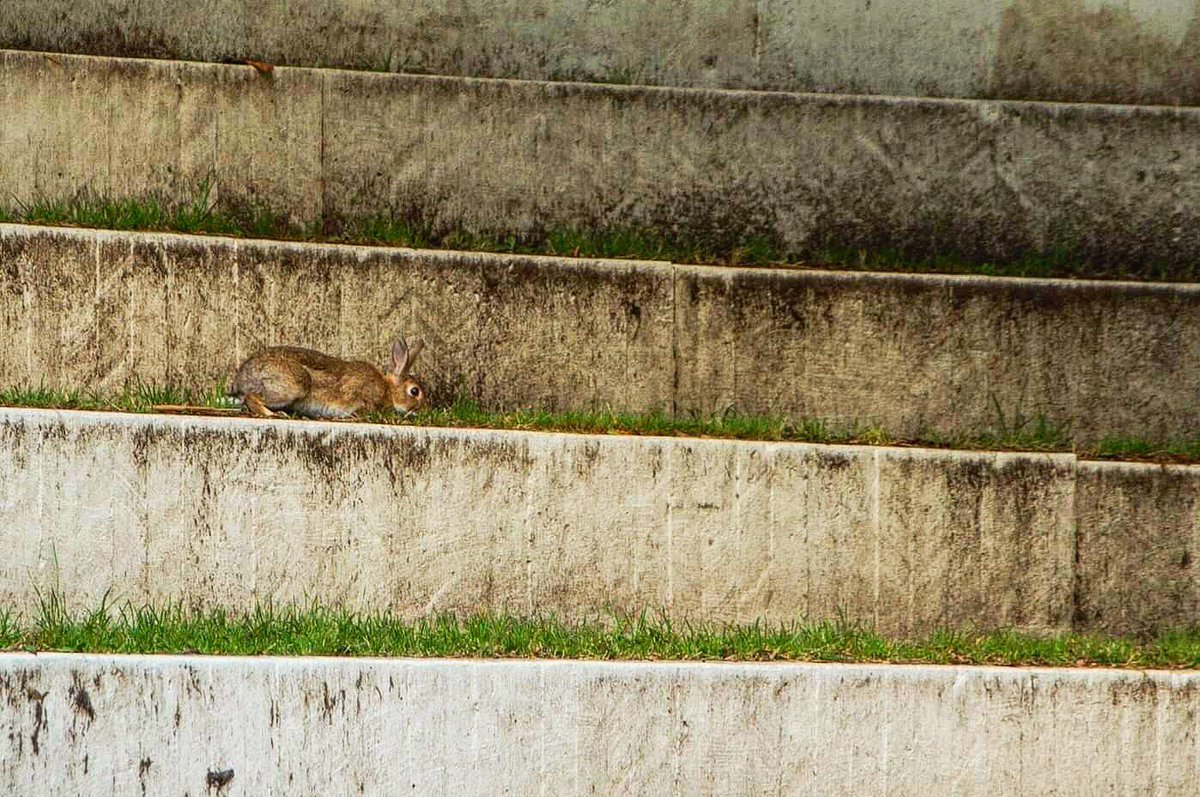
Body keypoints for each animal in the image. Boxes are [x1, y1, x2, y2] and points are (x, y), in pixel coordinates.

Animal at [228, 336, 427, 420]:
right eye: (414, 391)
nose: (422, 410)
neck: (388, 390)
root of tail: (241, 379)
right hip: (293, 386)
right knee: (252, 398)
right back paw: (274, 414)